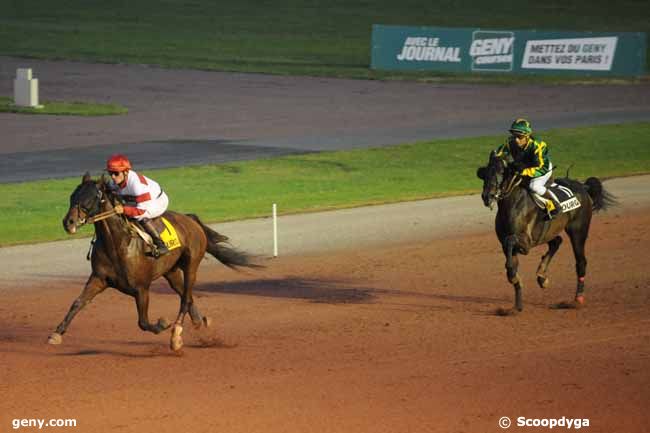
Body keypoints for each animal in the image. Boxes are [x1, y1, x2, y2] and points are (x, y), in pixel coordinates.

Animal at [49, 173, 256, 352]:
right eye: (72, 196)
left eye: (90, 198)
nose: (68, 222)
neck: (117, 244)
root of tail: (190, 219)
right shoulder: (99, 279)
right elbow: (77, 303)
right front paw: (56, 333)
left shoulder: (141, 288)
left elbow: (143, 322)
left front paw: (163, 324)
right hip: (171, 271)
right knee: (185, 295)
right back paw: (198, 321)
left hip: (191, 265)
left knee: (185, 299)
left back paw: (176, 335)